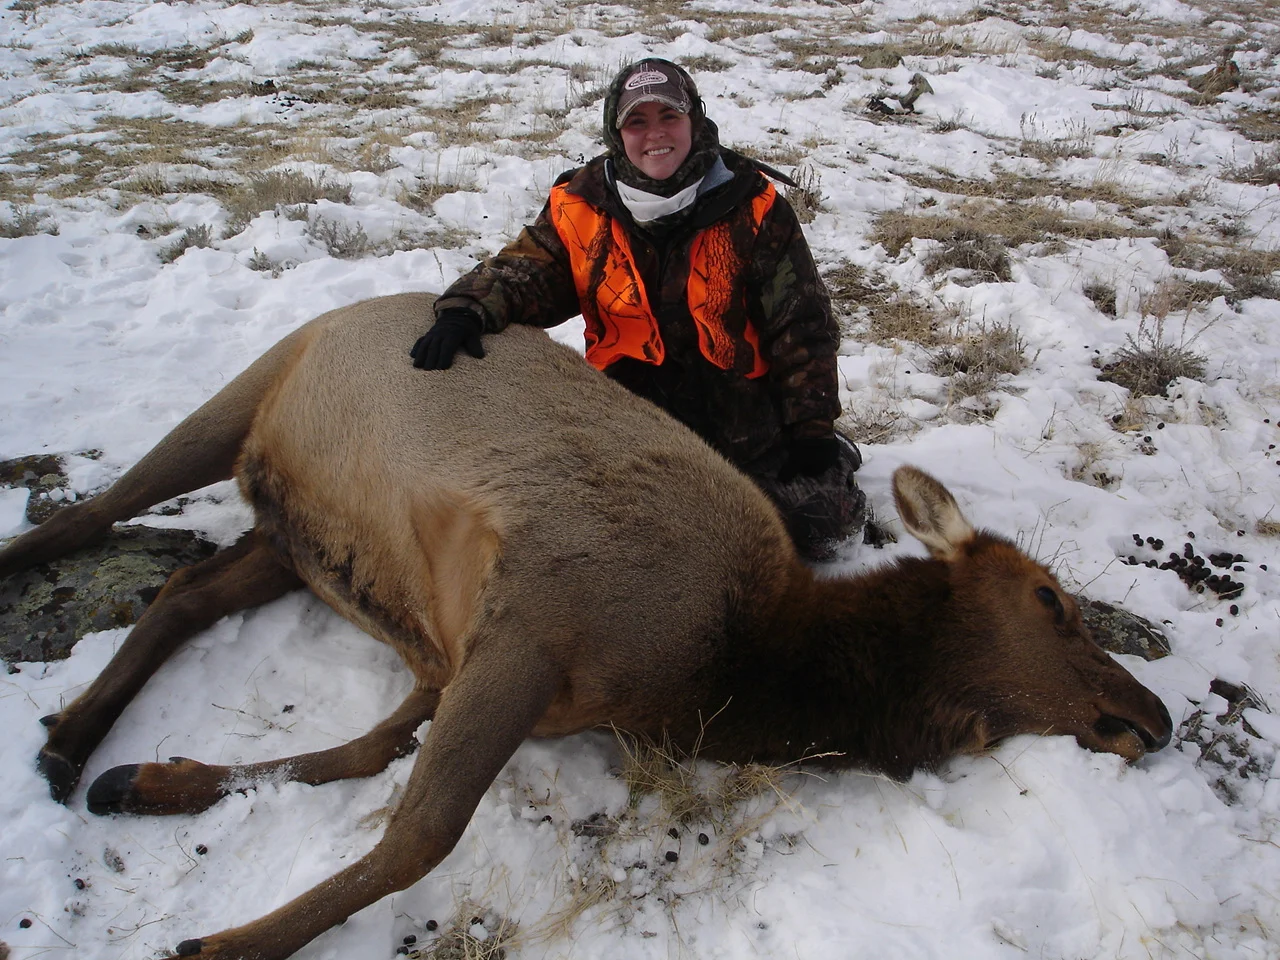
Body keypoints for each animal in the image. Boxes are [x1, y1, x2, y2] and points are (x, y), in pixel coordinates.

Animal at [0, 292, 1172, 960]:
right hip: (249, 389)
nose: (1152, 718)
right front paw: (216, 945)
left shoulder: (457, 648)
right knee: (92, 513)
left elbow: (364, 756)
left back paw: (72, 747)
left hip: (298, 532)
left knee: (184, 593)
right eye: (1051, 602)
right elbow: (416, 837)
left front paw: (153, 783)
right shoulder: (533, 620)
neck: (728, 670)